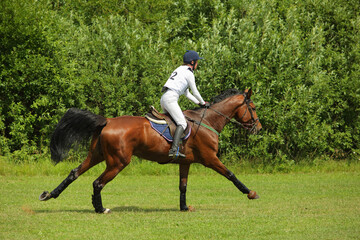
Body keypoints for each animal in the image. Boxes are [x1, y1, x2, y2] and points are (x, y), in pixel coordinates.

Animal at [39, 88, 262, 214]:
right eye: (252, 107)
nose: (258, 128)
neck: (207, 121)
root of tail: (107, 121)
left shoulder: (185, 162)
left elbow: (183, 186)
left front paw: (184, 207)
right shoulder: (210, 158)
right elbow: (231, 174)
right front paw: (250, 192)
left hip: (96, 155)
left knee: (74, 173)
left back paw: (49, 195)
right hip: (117, 162)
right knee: (97, 183)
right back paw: (100, 209)